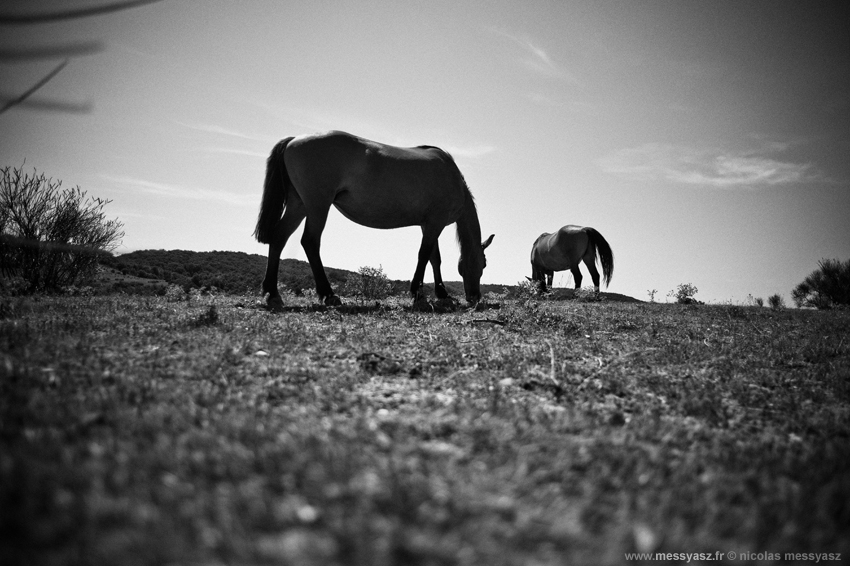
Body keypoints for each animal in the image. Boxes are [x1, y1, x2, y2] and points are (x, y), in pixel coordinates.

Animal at [253, 131, 490, 308]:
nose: (474, 297)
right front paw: (418, 294)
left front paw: (442, 294)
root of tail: (294, 140)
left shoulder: (429, 225)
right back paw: (328, 295)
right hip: (317, 206)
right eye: (483, 264)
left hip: (299, 205)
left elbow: (434, 259)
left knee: (279, 237)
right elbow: (424, 256)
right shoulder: (435, 224)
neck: (452, 178)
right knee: (310, 242)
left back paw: (273, 294)